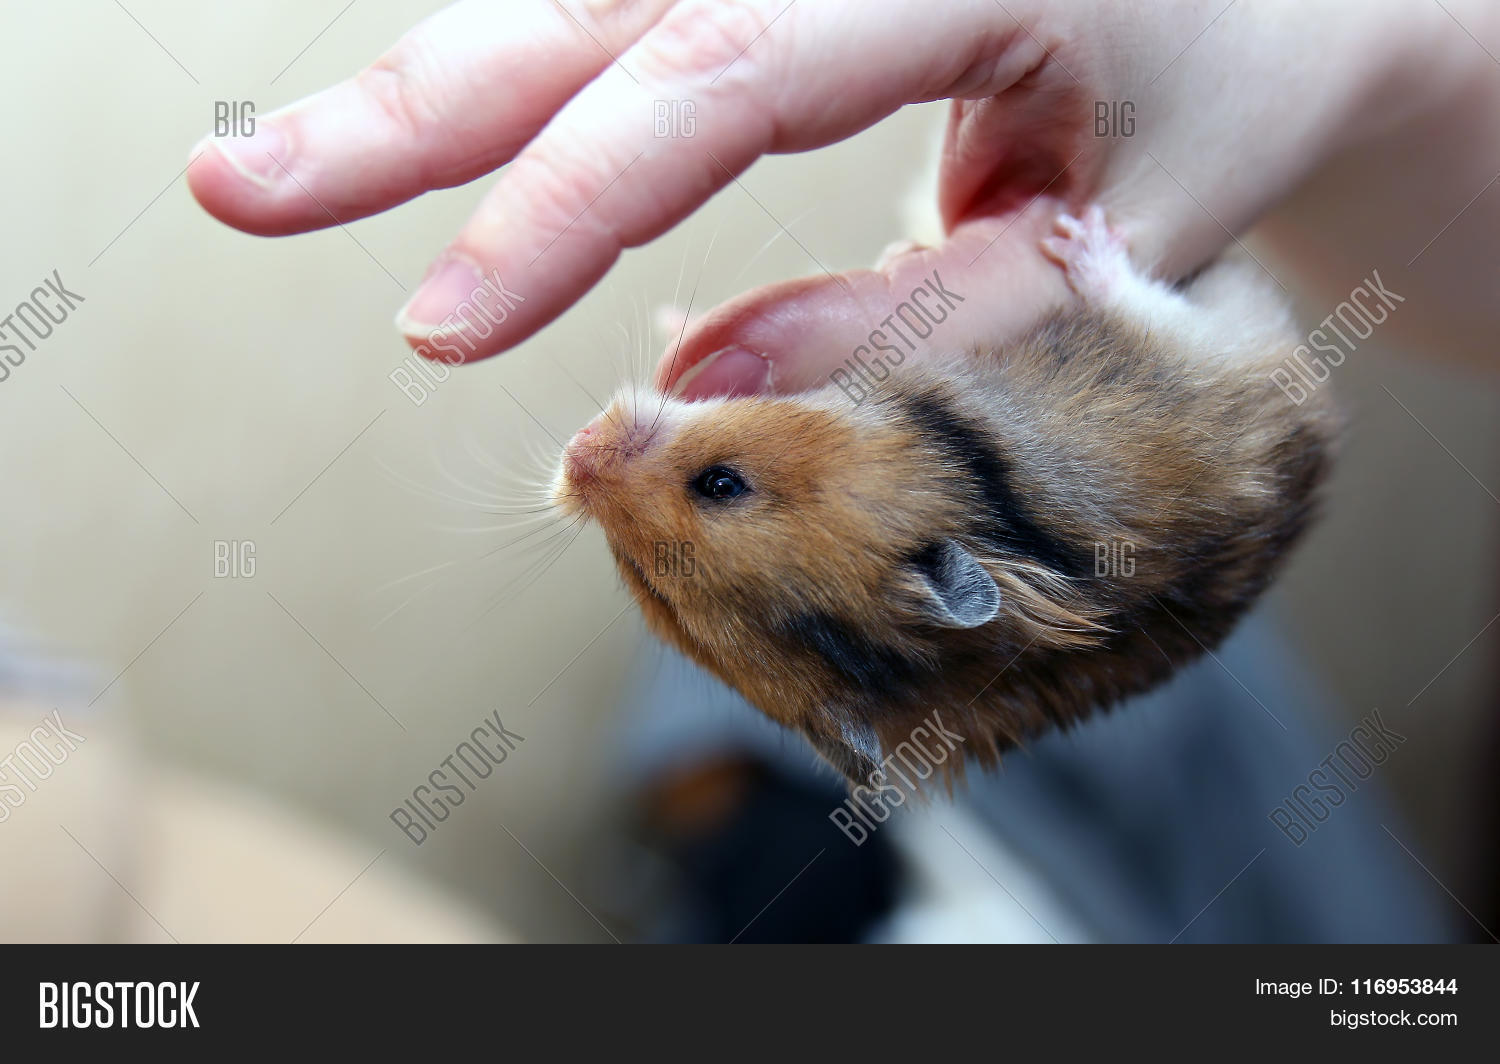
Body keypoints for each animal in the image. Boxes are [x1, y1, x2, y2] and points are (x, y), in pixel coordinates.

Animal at [552, 207, 1337, 787]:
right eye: (648, 584)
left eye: (720, 484)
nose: (574, 453)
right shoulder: (1182, 358)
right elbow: (1138, 301)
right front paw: (1078, 237)